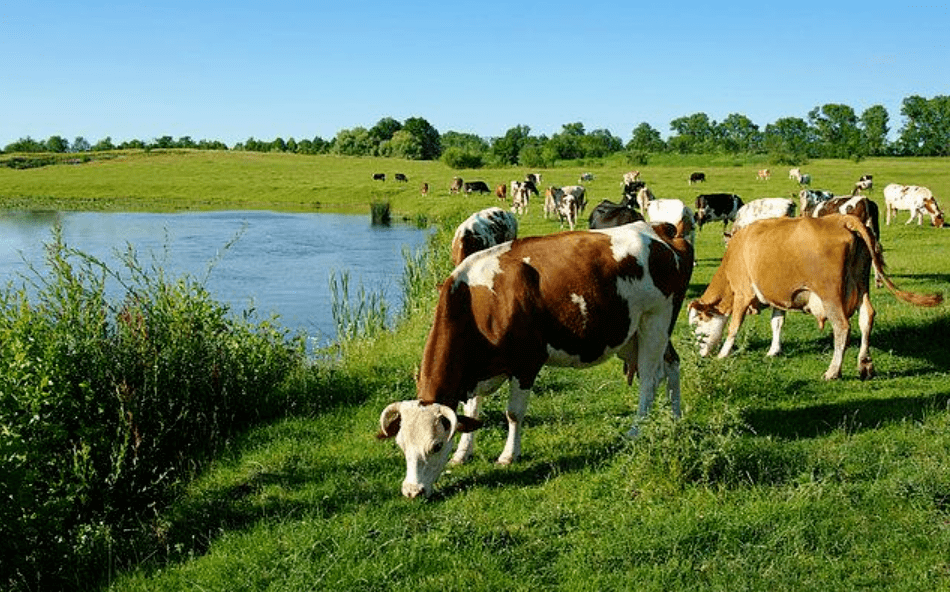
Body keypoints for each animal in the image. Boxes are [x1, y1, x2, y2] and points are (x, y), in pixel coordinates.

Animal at [376, 220, 696, 498]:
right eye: (401, 446)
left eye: (435, 445)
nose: (412, 492)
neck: (479, 300)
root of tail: (657, 228)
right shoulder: (477, 371)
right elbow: (472, 412)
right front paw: (463, 454)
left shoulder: (526, 362)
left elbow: (513, 414)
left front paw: (508, 455)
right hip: (633, 333)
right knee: (671, 366)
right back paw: (675, 418)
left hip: (656, 320)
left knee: (649, 381)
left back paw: (636, 430)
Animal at [688, 215, 940, 382]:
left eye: (697, 322)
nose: (700, 354)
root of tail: (842, 219)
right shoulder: (779, 297)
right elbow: (777, 322)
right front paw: (773, 350)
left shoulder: (742, 293)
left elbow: (733, 327)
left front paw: (723, 354)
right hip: (861, 285)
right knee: (867, 317)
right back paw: (864, 364)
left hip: (830, 295)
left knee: (842, 327)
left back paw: (833, 371)